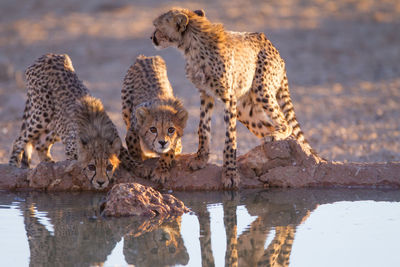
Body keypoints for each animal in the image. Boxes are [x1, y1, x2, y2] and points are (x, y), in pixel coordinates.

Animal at [9, 53, 148, 189]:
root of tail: (48, 55)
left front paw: (138, 168)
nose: (101, 182)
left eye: (109, 167)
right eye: (92, 167)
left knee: (41, 145)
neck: (97, 134)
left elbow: (126, 156)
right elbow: (76, 160)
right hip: (43, 114)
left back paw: (49, 164)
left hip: (56, 124)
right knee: (20, 139)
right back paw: (13, 165)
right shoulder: (71, 148)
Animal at [121, 55, 188, 185]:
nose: (162, 142)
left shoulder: (177, 144)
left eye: (171, 129)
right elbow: (133, 145)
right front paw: (139, 165)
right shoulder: (132, 129)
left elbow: (170, 151)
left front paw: (160, 171)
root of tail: (147, 57)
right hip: (126, 108)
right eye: (153, 129)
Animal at [151, 7, 322, 188]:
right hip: (244, 109)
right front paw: (200, 159)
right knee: (268, 127)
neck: (192, 46)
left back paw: (275, 136)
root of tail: (271, 45)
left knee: (286, 124)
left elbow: (230, 137)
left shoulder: (229, 98)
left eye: (157, 27)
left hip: (262, 90)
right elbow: (203, 128)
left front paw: (230, 173)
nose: (152, 38)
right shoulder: (206, 94)